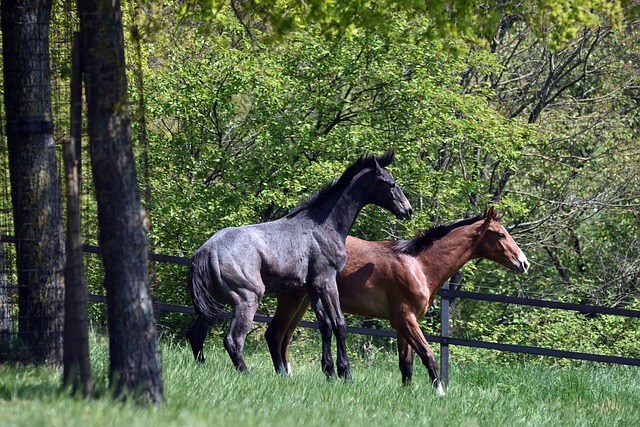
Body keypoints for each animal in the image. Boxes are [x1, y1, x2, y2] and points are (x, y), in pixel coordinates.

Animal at [187, 151, 413, 380]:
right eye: (391, 183)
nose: (408, 210)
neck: (322, 227)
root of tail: (205, 251)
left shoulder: (313, 287)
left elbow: (325, 325)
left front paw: (330, 372)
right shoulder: (327, 282)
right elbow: (339, 324)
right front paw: (345, 374)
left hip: (217, 301)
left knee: (196, 335)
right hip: (247, 299)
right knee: (233, 340)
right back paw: (248, 375)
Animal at [264, 207, 529, 395]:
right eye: (500, 234)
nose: (524, 263)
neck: (418, 264)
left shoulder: (403, 323)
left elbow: (407, 364)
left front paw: (407, 394)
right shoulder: (404, 319)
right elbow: (428, 355)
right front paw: (440, 393)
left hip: (304, 301)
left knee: (285, 338)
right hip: (293, 299)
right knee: (275, 334)